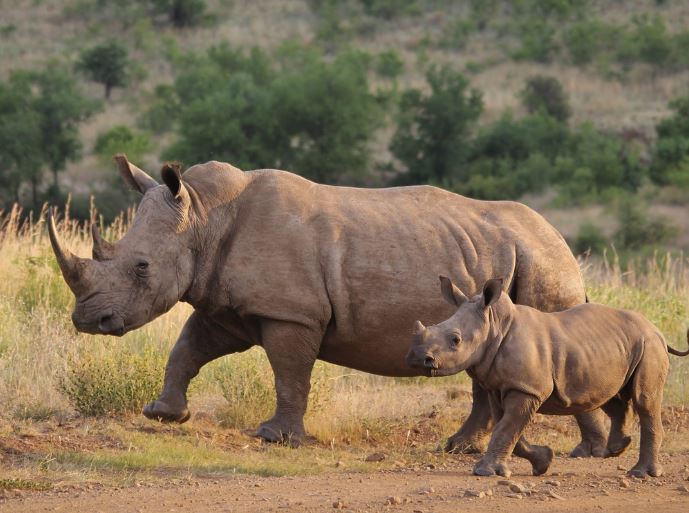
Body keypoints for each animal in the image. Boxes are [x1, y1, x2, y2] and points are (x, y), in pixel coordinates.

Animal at [48, 155, 609, 455]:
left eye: (142, 267)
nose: (88, 320)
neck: (203, 217)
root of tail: (560, 240)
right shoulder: (226, 306)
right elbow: (188, 348)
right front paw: (164, 414)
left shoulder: (290, 312)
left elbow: (290, 373)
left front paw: (276, 438)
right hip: (509, 261)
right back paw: (463, 448)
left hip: (541, 264)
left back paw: (584, 451)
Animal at [407, 277, 689, 478]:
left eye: (455, 340)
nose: (417, 358)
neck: (494, 325)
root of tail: (657, 329)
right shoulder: (501, 387)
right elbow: (509, 429)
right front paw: (543, 462)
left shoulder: (527, 388)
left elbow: (506, 428)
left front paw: (484, 471)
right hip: (616, 348)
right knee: (608, 395)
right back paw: (617, 449)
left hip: (649, 345)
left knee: (644, 401)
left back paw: (640, 474)